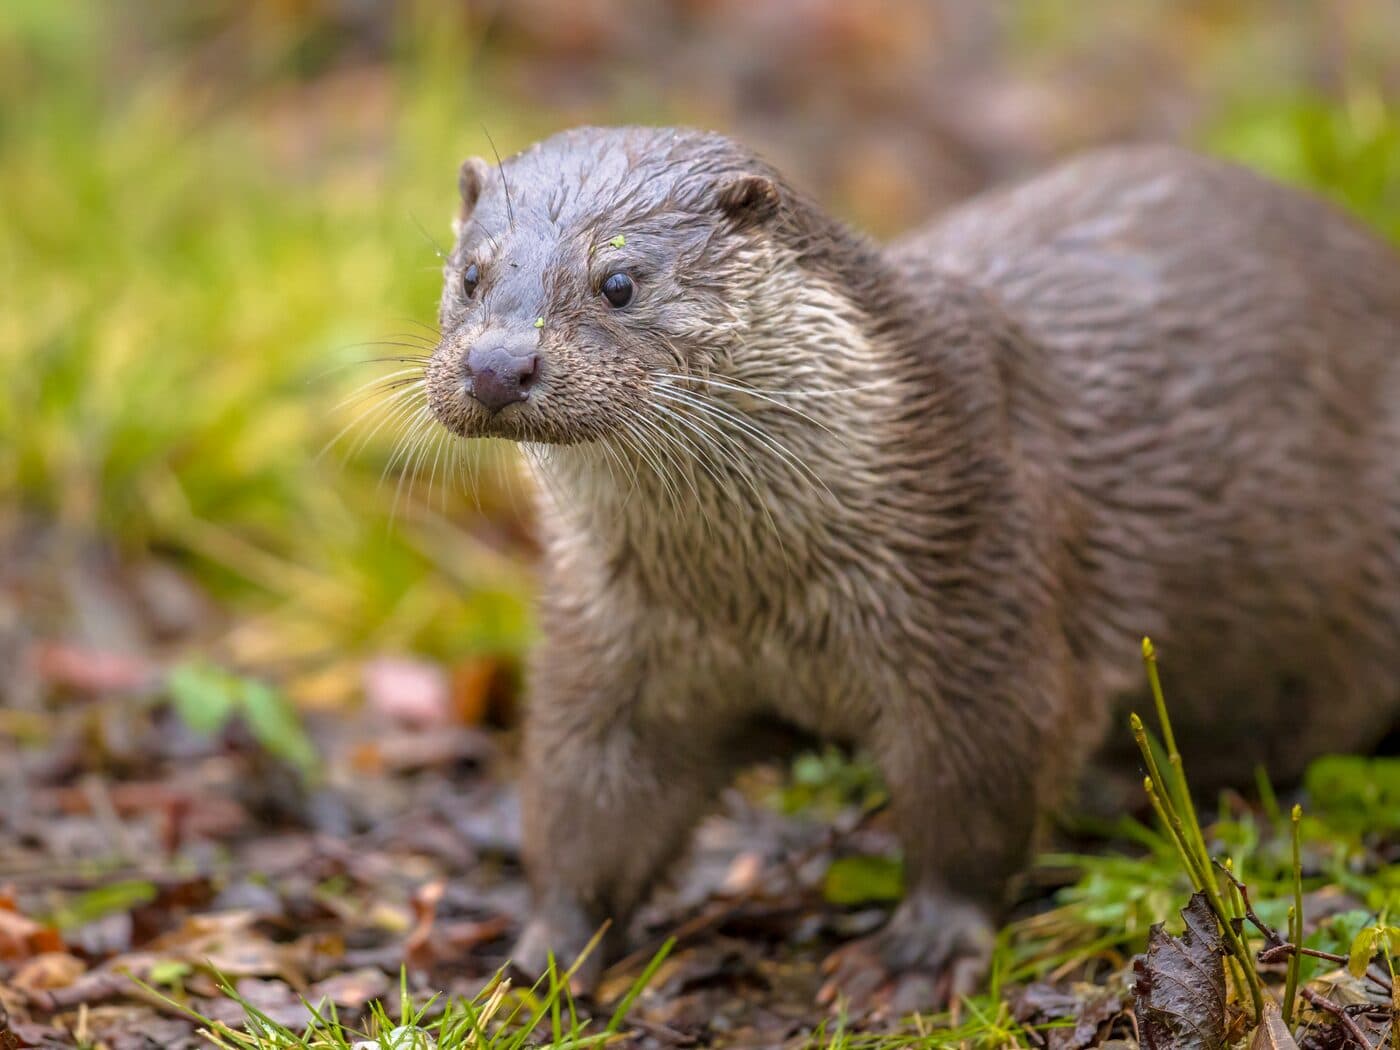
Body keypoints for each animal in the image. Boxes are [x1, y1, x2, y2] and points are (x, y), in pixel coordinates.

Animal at [422, 126, 1400, 1007]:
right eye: (470, 275)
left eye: (620, 283)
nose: (498, 365)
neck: (753, 594)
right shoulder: (612, 641)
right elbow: (585, 796)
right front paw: (544, 955)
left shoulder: (977, 601)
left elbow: (975, 794)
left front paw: (920, 953)